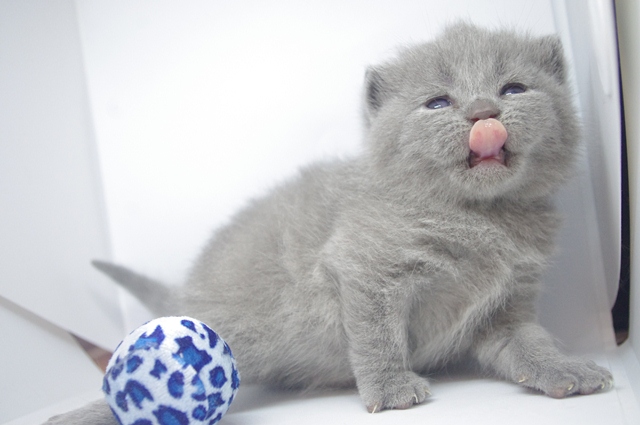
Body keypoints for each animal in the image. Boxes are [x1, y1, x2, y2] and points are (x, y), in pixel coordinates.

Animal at [45, 23, 613, 424]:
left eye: (514, 88)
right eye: (437, 102)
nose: (482, 112)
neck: (480, 216)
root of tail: (188, 288)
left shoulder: (505, 305)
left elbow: (528, 343)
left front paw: (565, 370)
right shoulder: (363, 265)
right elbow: (376, 333)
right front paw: (391, 389)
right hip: (233, 330)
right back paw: (75, 416)